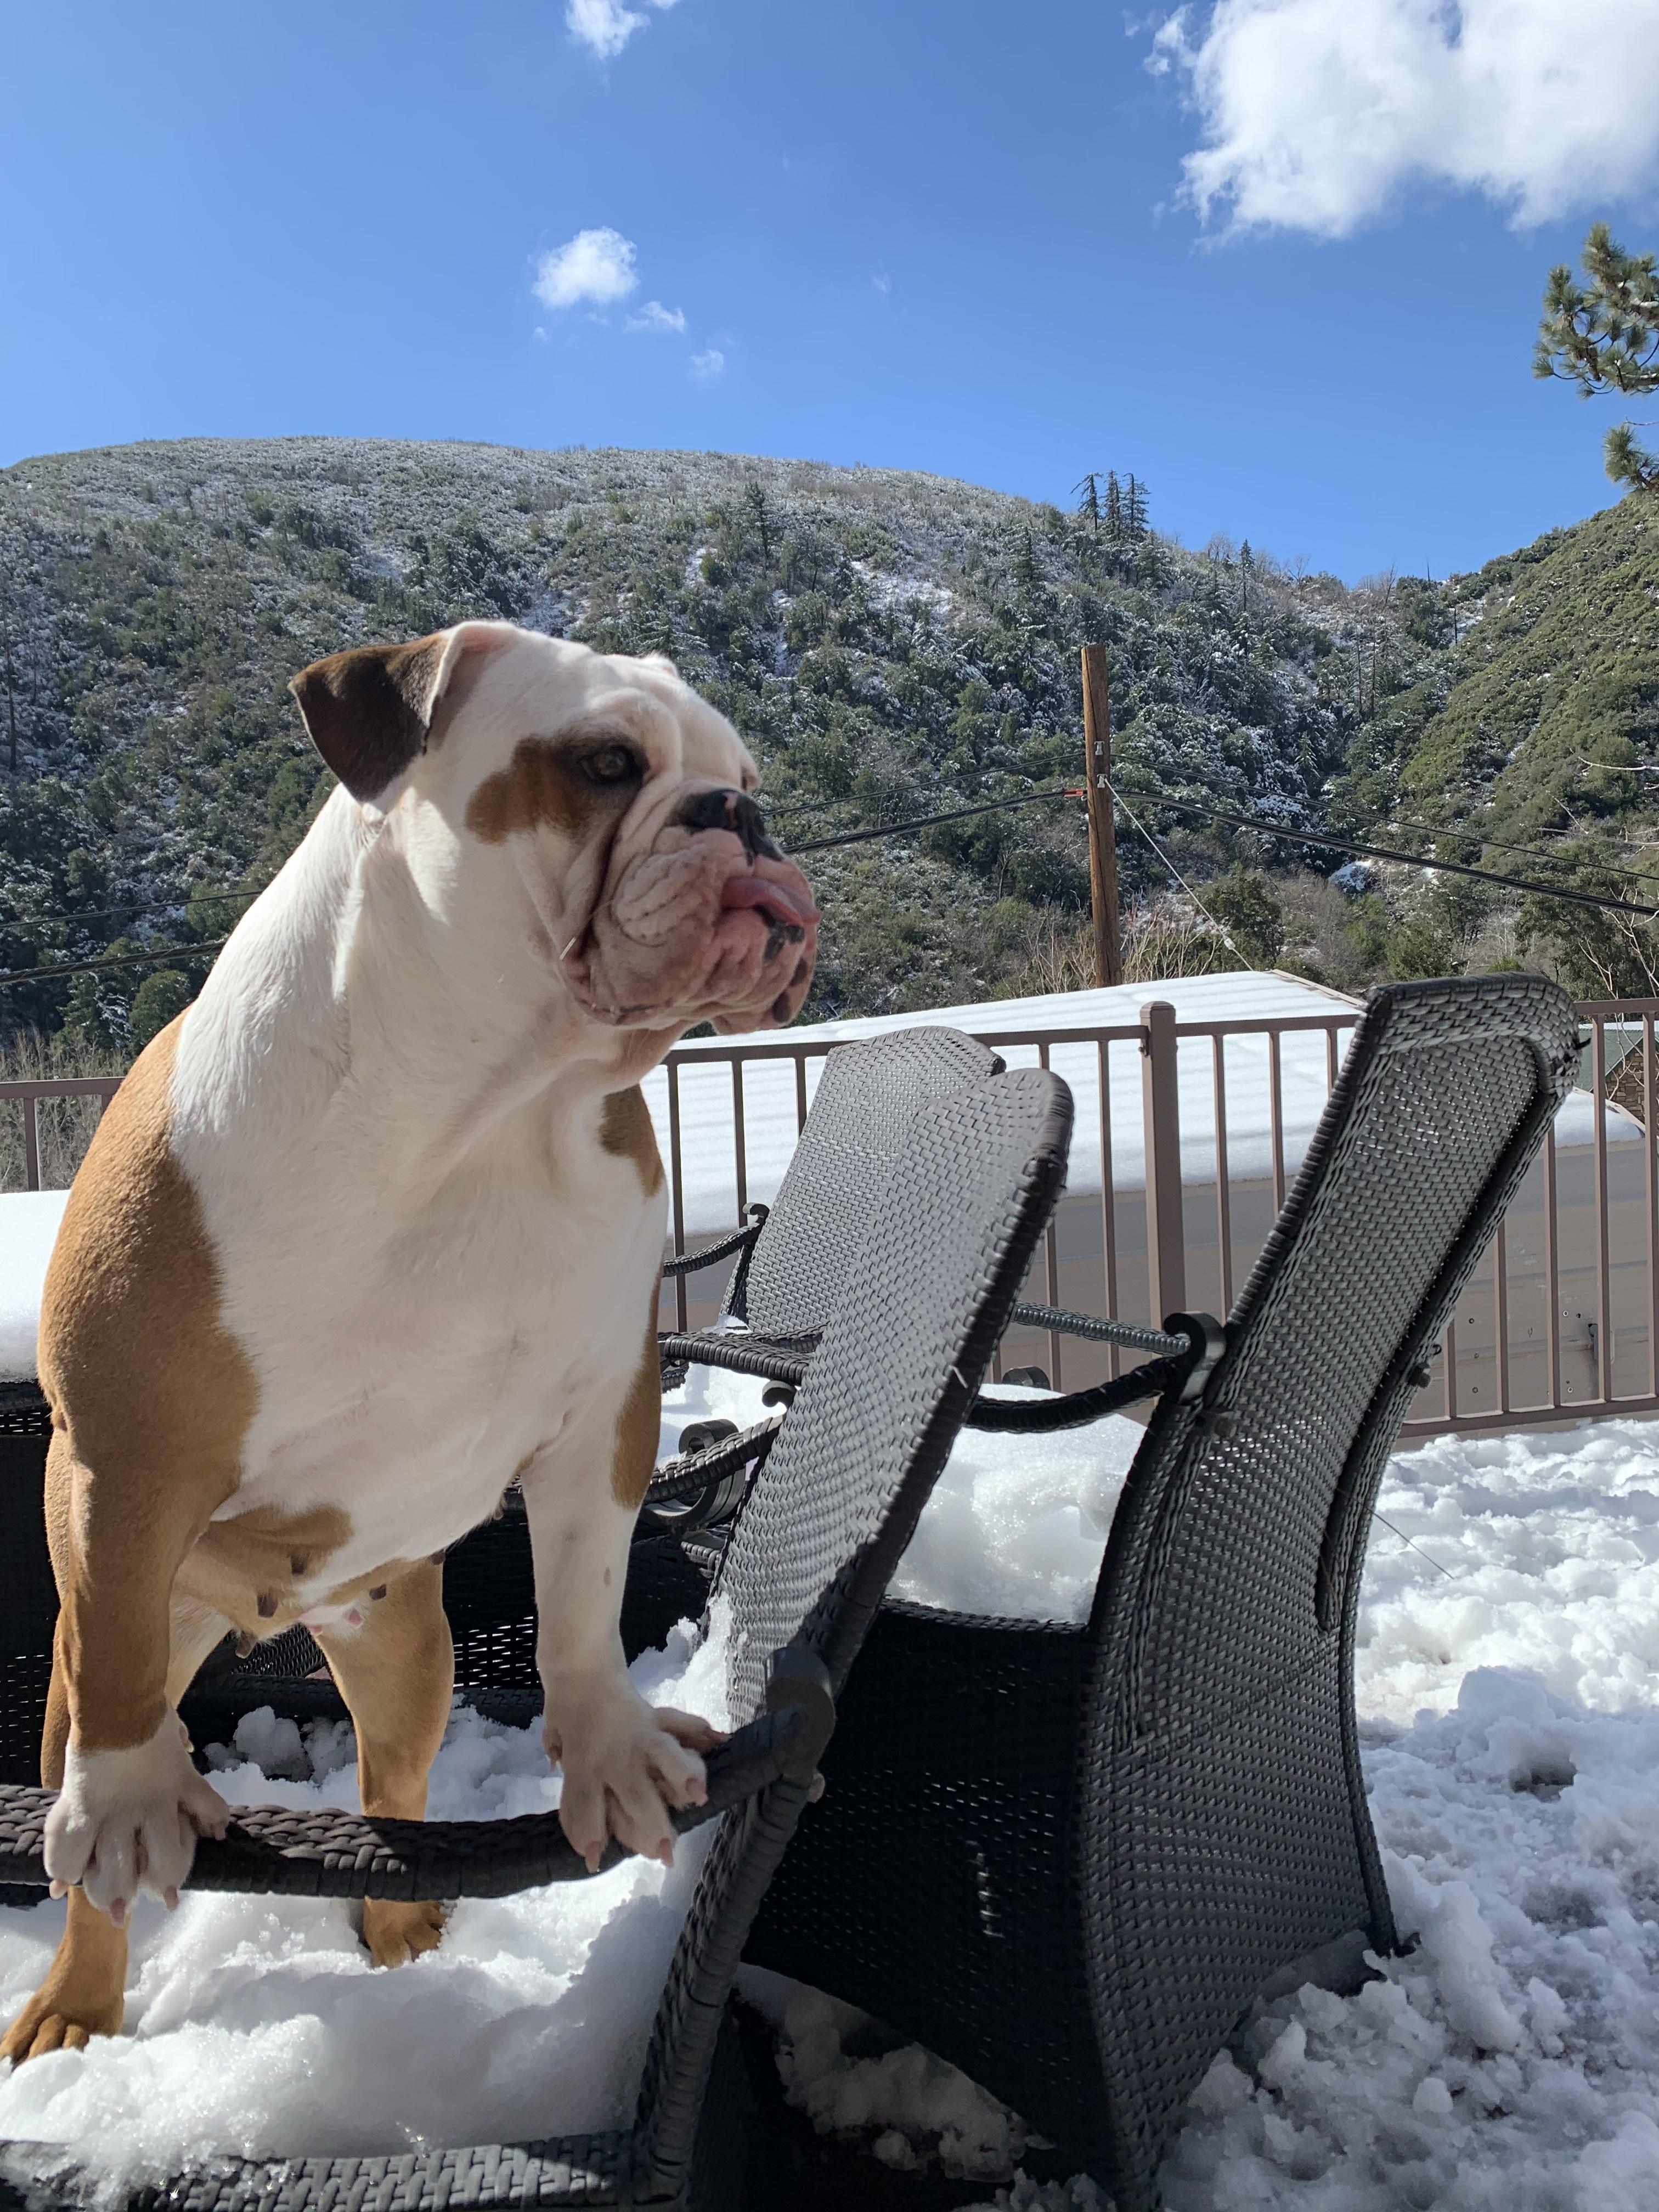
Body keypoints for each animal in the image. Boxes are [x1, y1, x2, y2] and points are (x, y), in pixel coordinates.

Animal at [2, 620, 818, 2063]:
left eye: (744, 776)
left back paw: (401, 1930)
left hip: (405, 1654)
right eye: (605, 766)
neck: (481, 1109)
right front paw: (129, 1801)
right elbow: (118, 1690)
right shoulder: (124, 1453)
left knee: (396, 1789)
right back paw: (75, 2003)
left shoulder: (602, 1414)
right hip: (95, 1660)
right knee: (100, 1801)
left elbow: (582, 1599)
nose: (740, 816)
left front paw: (608, 1749)